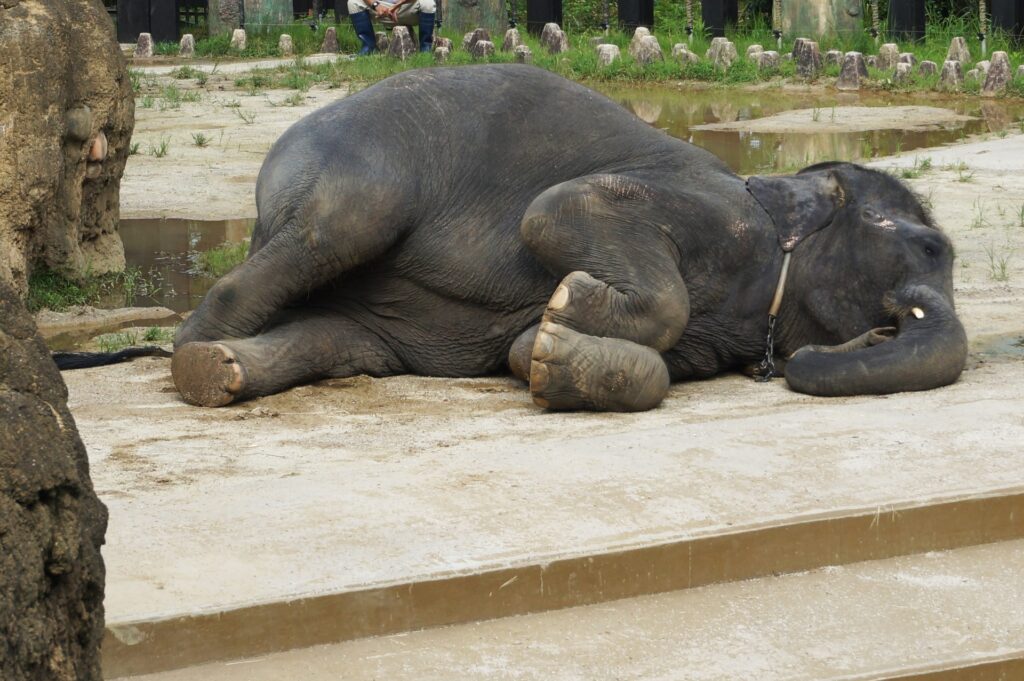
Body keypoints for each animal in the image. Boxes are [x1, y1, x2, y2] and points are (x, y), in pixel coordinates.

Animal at [169, 65, 966, 409]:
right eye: (927, 246)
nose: (876, 333)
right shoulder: (711, 211)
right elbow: (555, 209)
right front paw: (567, 302)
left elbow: (619, 366)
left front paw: (547, 344)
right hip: (355, 174)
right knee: (333, 232)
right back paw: (192, 350)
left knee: (336, 340)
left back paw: (218, 370)